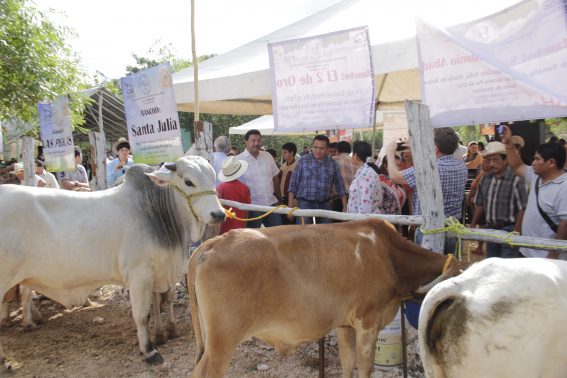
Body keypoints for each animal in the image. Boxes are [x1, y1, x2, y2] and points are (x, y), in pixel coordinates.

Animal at [0, 155, 226, 370]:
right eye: (188, 182)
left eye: (213, 178)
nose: (219, 214)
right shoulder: (139, 275)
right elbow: (142, 314)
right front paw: (149, 350)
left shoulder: (161, 271)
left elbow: (163, 301)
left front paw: (167, 332)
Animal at [189, 219, 464, 378]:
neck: (387, 254)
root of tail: (215, 242)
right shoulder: (368, 321)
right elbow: (364, 367)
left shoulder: (344, 324)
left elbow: (348, 364)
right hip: (223, 341)